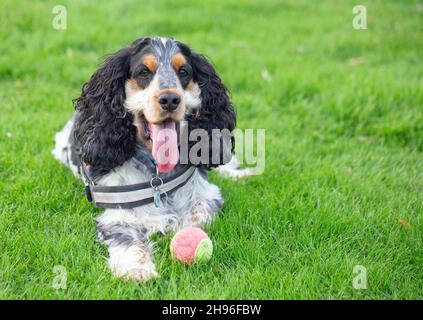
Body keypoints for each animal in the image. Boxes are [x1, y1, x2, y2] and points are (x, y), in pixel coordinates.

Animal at [52, 37, 248, 282]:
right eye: (144, 72)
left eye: (184, 71)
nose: (170, 99)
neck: (157, 172)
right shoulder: (117, 215)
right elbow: (127, 241)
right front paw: (137, 270)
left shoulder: (207, 195)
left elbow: (197, 215)